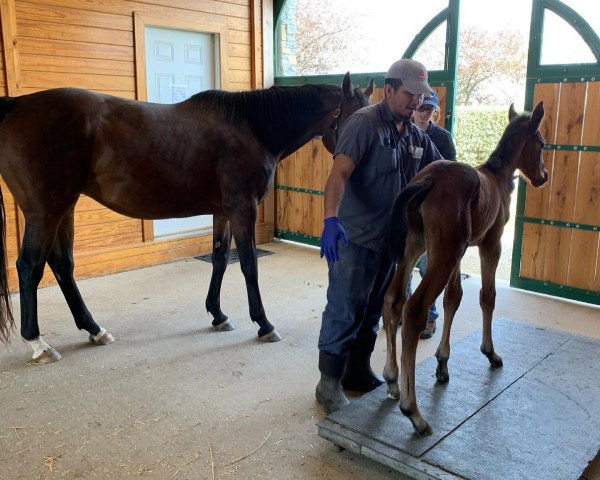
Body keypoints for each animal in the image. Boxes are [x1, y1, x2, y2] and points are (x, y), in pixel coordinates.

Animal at [0, 72, 372, 364]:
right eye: (355, 121)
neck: (253, 128)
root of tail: (17, 105)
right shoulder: (243, 208)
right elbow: (248, 264)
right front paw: (264, 324)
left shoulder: (223, 212)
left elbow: (220, 259)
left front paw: (218, 315)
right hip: (46, 211)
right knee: (30, 267)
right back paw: (39, 343)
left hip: (65, 207)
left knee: (62, 265)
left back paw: (94, 329)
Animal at [382, 104, 548, 436]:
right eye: (541, 143)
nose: (543, 176)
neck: (496, 176)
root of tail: (428, 180)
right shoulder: (490, 244)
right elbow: (487, 296)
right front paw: (491, 352)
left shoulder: (460, 253)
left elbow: (453, 299)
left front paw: (442, 364)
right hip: (441, 254)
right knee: (413, 309)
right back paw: (414, 412)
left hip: (415, 248)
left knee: (393, 299)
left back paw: (392, 380)